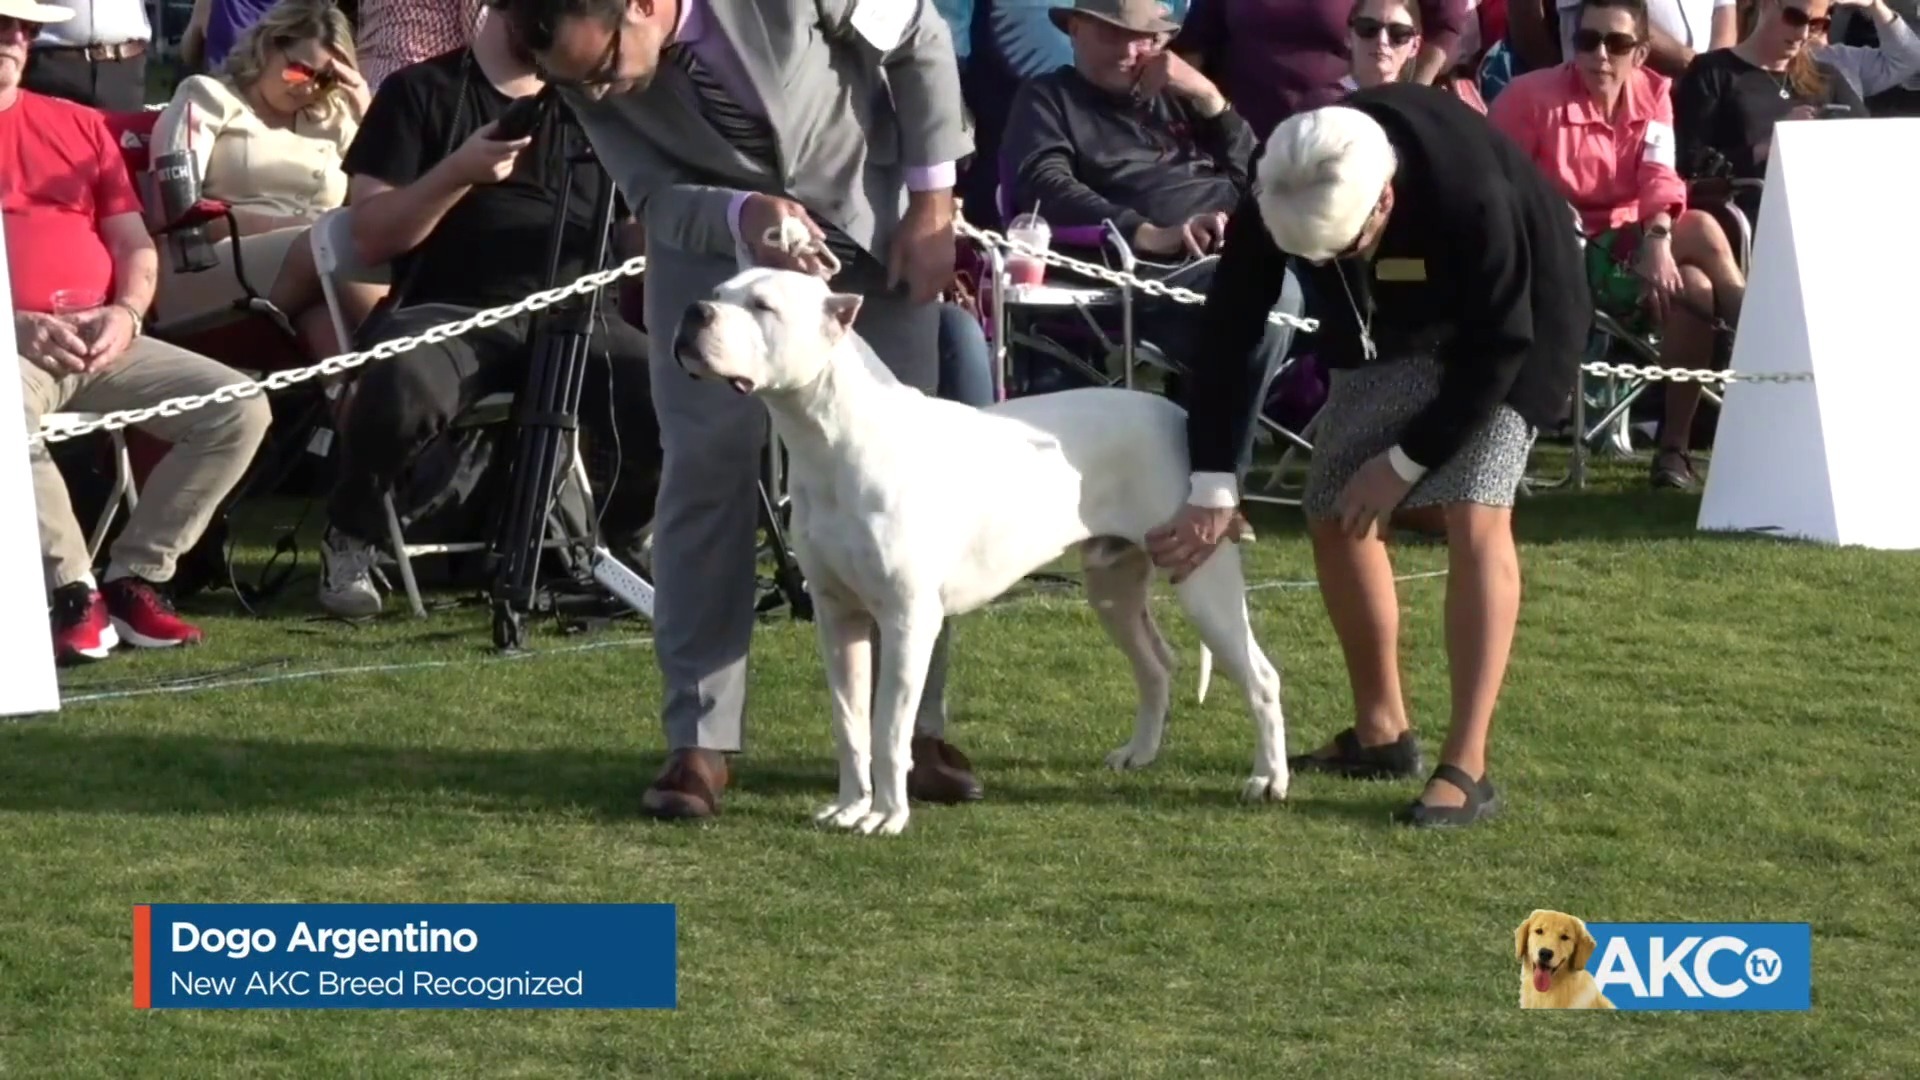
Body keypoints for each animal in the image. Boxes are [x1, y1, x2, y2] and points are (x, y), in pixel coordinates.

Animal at [675, 267, 1290, 834]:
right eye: (720, 290)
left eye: (762, 305)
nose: (693, 311)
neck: (831, 440)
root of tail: (1181, 417)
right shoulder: (838, 616)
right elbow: (850, 723)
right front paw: (850, 806)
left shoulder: (907, 621)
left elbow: (888, 727)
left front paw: (888, 814)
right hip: (1113, 589)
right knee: (1157, 665)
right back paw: (1139, 753)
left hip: (1202, 582)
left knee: (1261, 678)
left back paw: (1268, 779)